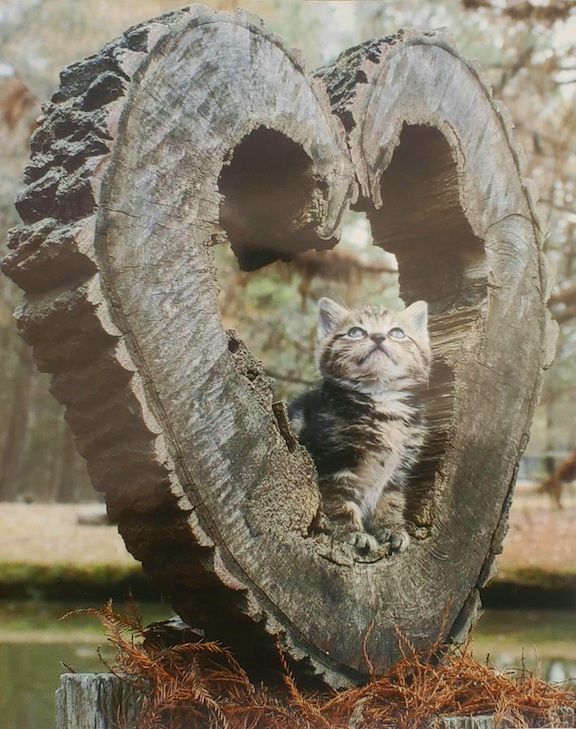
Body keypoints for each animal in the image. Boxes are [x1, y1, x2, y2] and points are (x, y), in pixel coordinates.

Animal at [290, 296, 430, 552]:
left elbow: (392, 499)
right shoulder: (333, 460)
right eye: (356, 332)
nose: (378, 336)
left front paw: (391, 528)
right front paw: (352, 533)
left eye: (397, 332)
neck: (381, 400)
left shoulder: (398, 469)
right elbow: (338, 501)